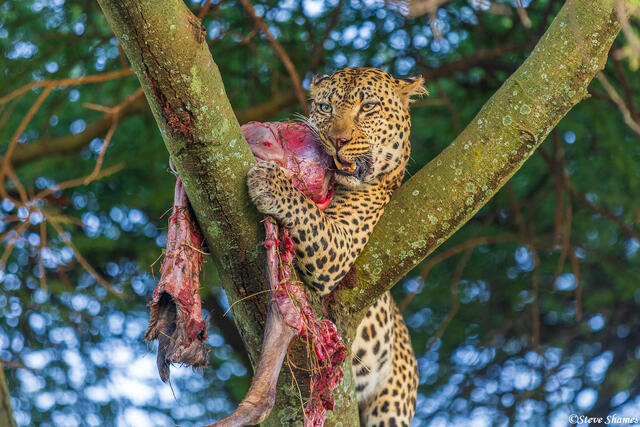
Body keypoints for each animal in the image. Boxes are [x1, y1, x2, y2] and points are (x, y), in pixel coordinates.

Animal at [247, 67, 426, 427]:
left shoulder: (338, 245)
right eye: (326, 107)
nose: (337, 140)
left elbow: (307, 211)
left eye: (368, 107)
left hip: (391, 402)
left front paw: (272, 182)